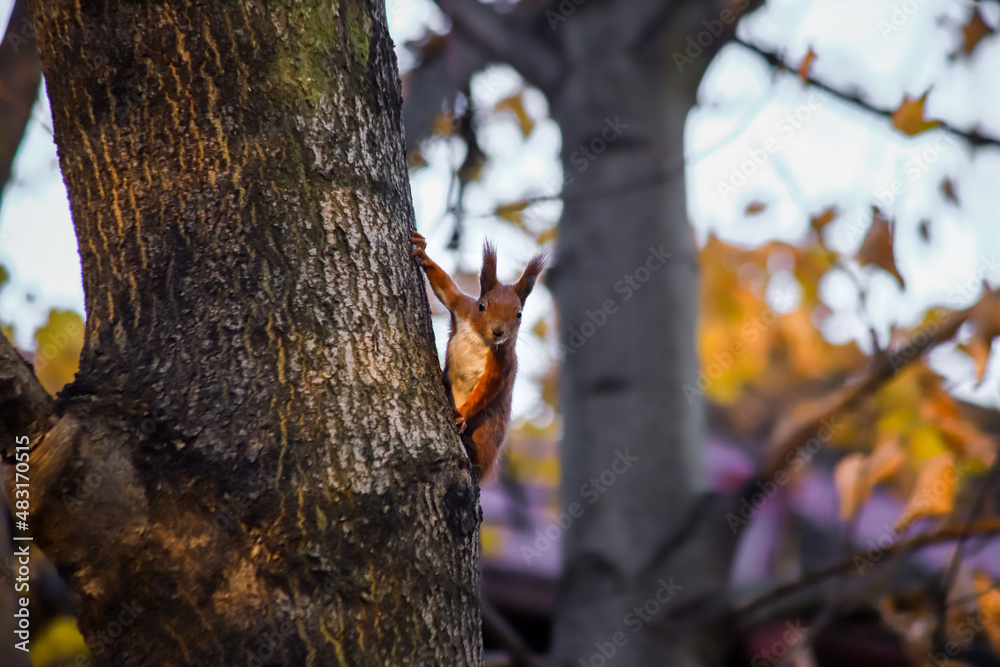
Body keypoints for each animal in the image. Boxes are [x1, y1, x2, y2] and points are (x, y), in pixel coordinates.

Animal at [410, 231, 546, 482]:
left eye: (519, 314)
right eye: (482, 305)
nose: (498, 331)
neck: (482, 340)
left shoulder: (503, 363)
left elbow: (487, 389)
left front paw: (462, 414)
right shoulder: (462, 307)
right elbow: (446, 287)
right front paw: (423, 251)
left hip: (487, 430)